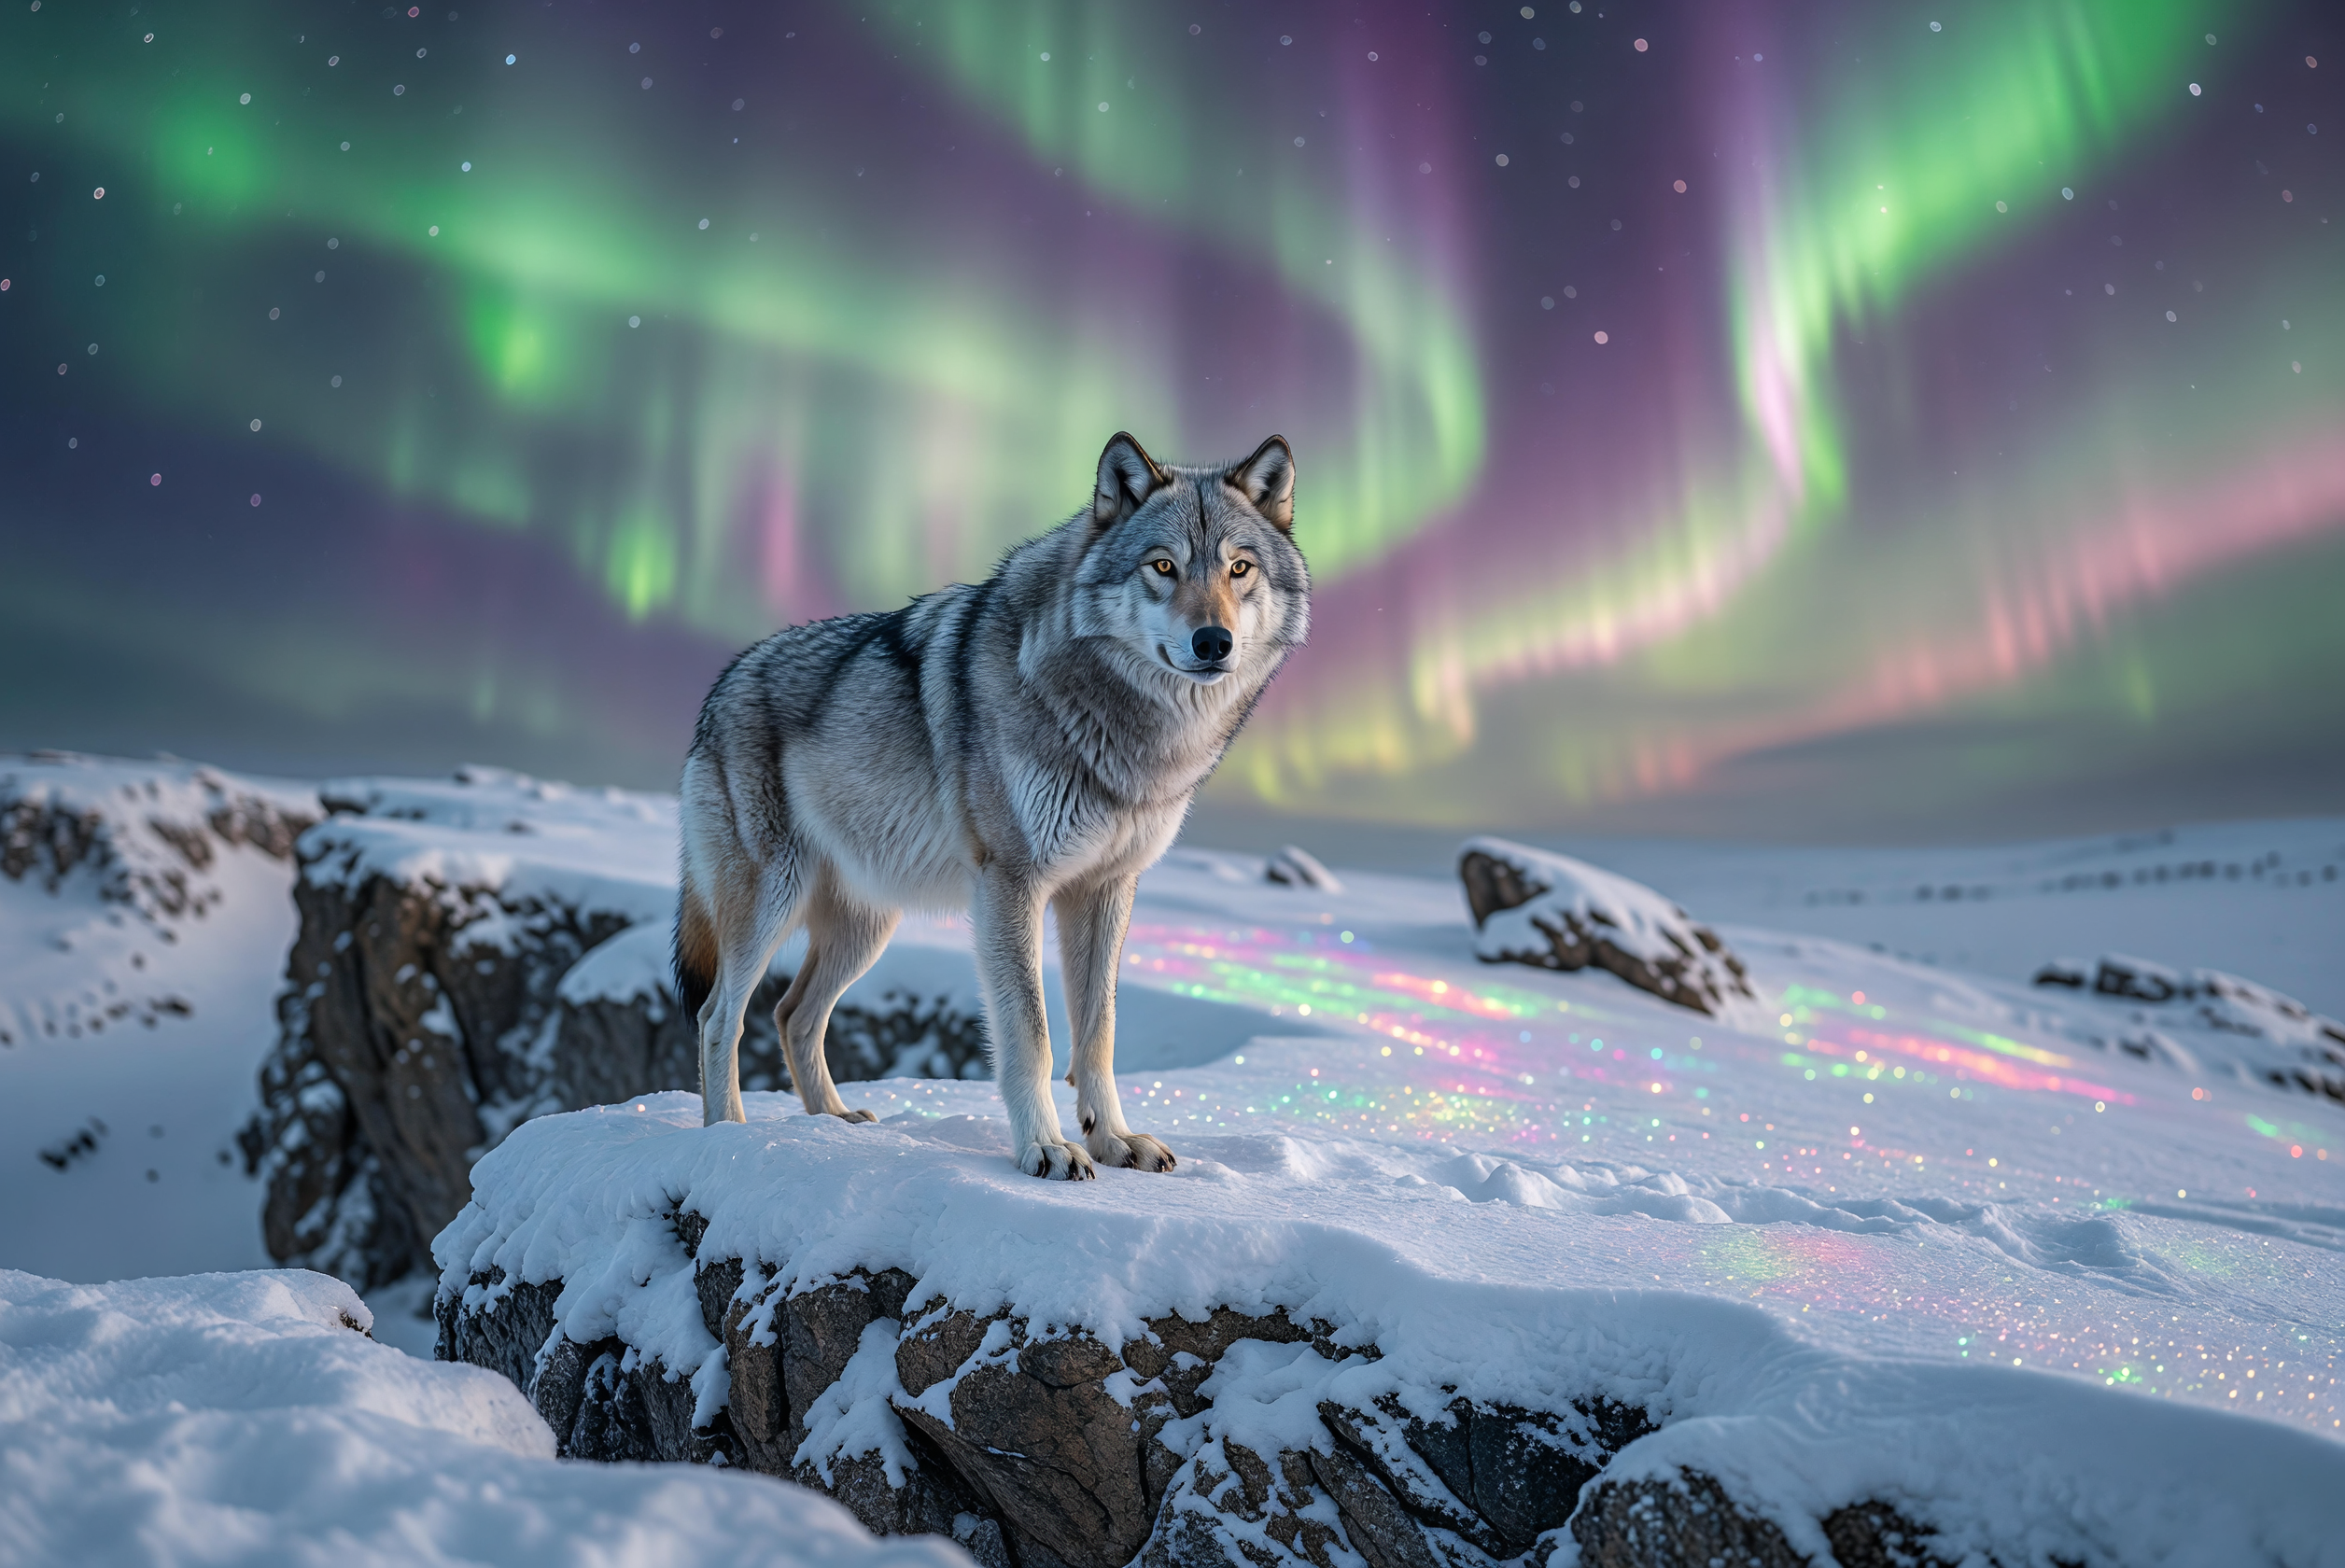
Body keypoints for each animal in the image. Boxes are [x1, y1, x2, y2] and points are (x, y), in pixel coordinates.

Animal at [674, 433, 1309, 1178]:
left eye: (1239, 568)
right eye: (1163, 566)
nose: (1214, 642)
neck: (1125, 733)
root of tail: (721, 685)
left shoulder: (1107, 888)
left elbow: (1098, 1033)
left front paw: (1114, 1140)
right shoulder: (1011, 884)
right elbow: (1031, 1033)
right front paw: (1046, 1148)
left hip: (868, 926)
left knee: (793, 1014)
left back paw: (835, 1122)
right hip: (772, 904)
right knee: (721, 1016)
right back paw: (729, 1134)